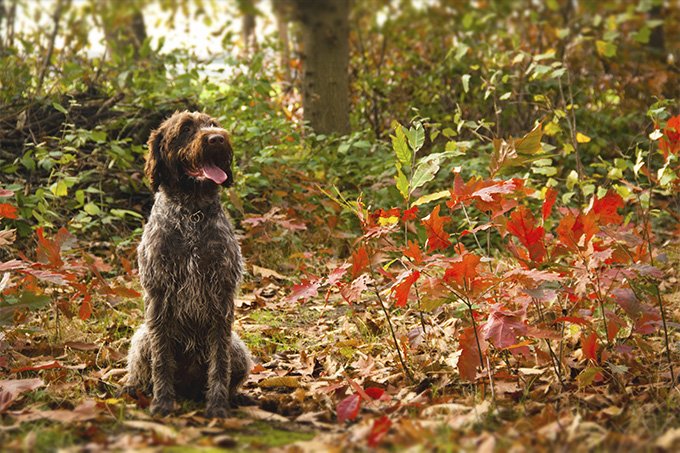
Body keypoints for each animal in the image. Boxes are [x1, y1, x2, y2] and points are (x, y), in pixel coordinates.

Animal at [125, 111, 252, 414]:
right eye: (185, 129)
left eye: (213, 124)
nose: (217, 138)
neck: (192, 212)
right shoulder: (158, 295)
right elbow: (161, 361)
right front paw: (162, 402)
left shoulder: (221, 297)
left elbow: (219, 364)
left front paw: (217, 406)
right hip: (143, 337)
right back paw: (134, 389)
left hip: (238, 348)